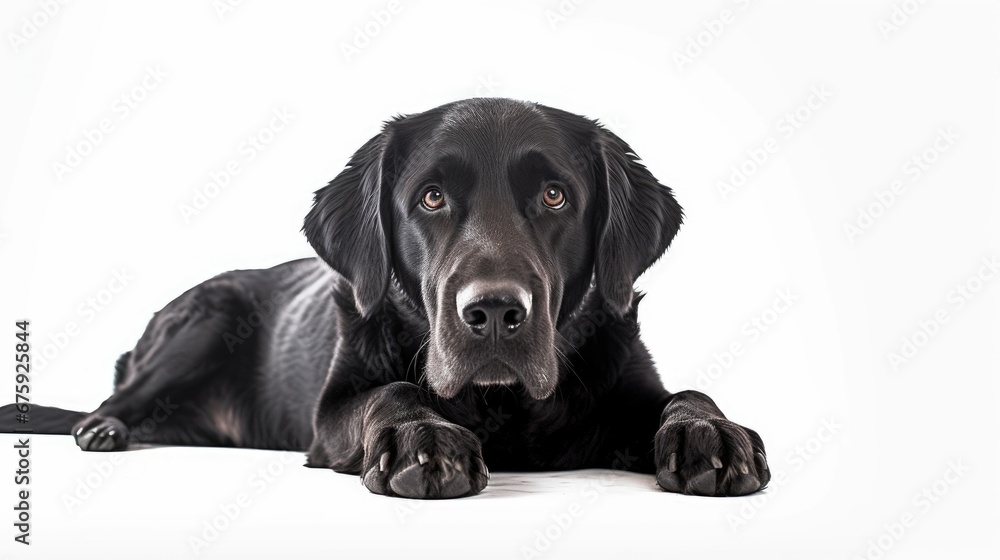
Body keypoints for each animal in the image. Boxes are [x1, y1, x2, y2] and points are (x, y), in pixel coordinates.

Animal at [0, 97, 768, 498]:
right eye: (430, 197)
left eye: (555, 196)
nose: (495, 314)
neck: (501, 408)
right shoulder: (332, 412)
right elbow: (390, 393)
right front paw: (420, 438)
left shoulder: (624, 389)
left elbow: (683, 393)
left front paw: (711, 432)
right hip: (205, 319)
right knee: (116, 398)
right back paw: (103, 428)